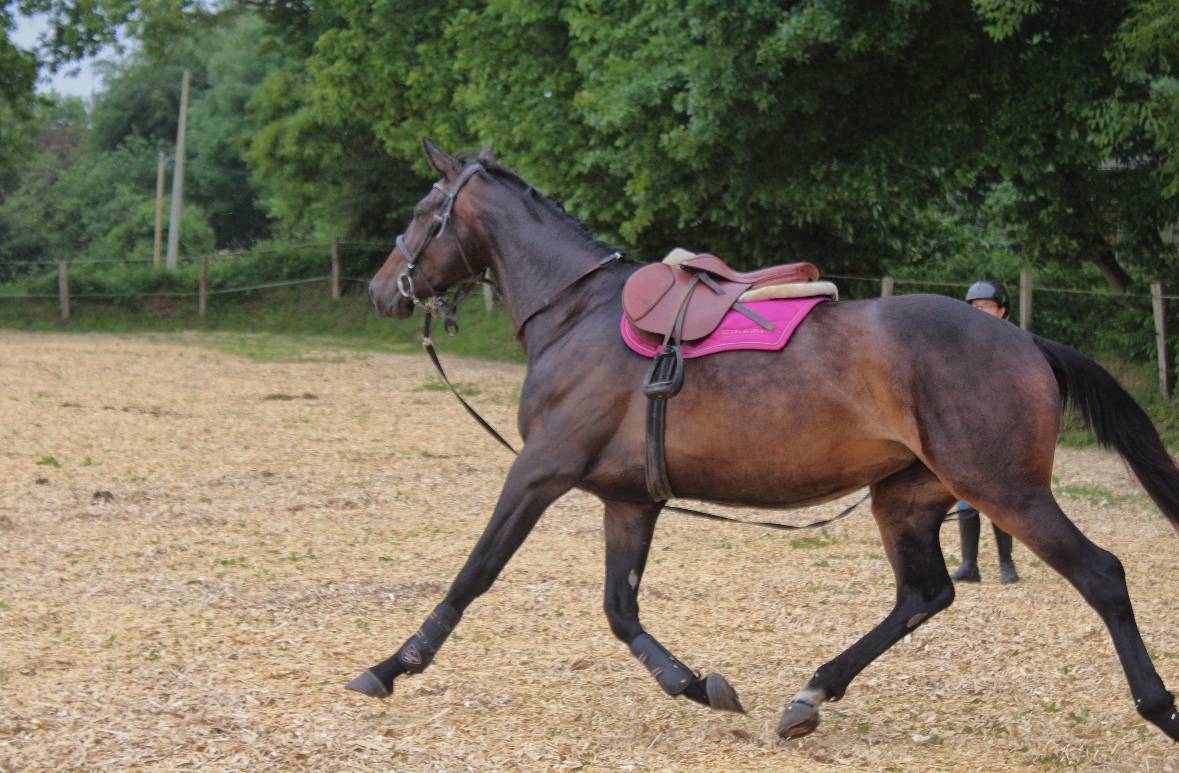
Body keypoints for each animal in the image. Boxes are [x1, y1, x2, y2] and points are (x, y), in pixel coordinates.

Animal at [355, 139, 1179, 742]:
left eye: (426, 209)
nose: (380, 288)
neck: (577, 312)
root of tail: (1024, 339)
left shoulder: (539, 471)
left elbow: (475, 574)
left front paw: (393, 664)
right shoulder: (628, 500)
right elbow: (621, 608)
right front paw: (694, 684)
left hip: (1004, 489)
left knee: (1101, 575)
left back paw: (1157, 707)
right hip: (907, 498)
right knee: (924, 594)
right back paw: (811, 692)